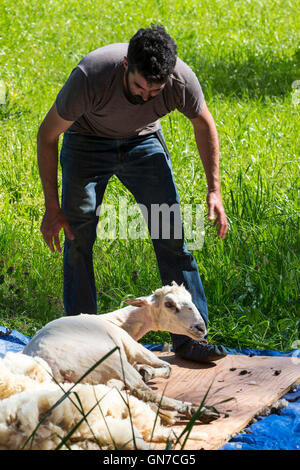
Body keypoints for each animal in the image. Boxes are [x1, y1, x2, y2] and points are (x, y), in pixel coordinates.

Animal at [22, 282, 218, 422]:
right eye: (169, 304)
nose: (201, 328)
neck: (119, 321)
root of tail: (50, 370)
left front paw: (146, 371)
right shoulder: (133, 347)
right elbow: (168, 367)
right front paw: (148, 371)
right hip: (112, 360)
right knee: (143, 390)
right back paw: (198, 410)